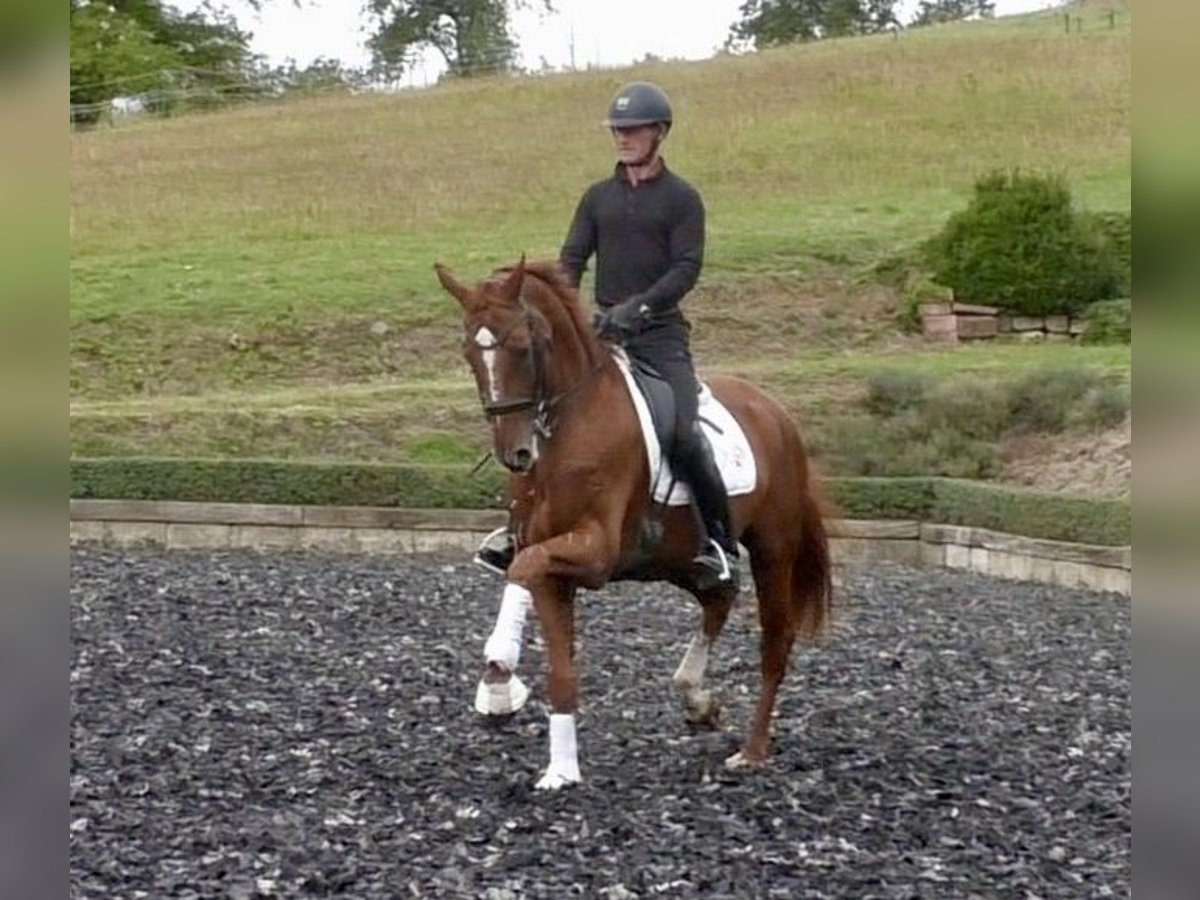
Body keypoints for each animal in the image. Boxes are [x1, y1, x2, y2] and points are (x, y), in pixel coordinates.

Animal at [434, 259, 835, 787]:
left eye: (522, 346)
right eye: (468, 353)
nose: (515, 454)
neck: (566, 430)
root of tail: (777, 414)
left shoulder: (594, 553)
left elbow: (525, 568)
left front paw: (499, 676)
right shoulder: (550, 560)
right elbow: (556, 660)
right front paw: (560, 769)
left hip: (772, 549)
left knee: (775, 642)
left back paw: (750, 751)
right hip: (678, 558)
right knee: (720, 596)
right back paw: (697, 697)